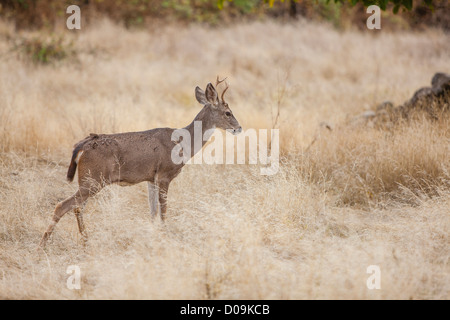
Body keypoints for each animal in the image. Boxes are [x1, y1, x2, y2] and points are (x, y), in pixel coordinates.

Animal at [39, 77, 243, 248]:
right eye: (227, 112)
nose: (239, 128)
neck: (183, 143)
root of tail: (81, 146)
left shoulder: (151, 179)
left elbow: (152, 212)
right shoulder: (164, 175)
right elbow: (163, 209)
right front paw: (165, 235)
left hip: (89, 180)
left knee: (77, 207)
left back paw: (85, 241)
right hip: (93, 179)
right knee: (63, 206)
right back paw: (44, 245)